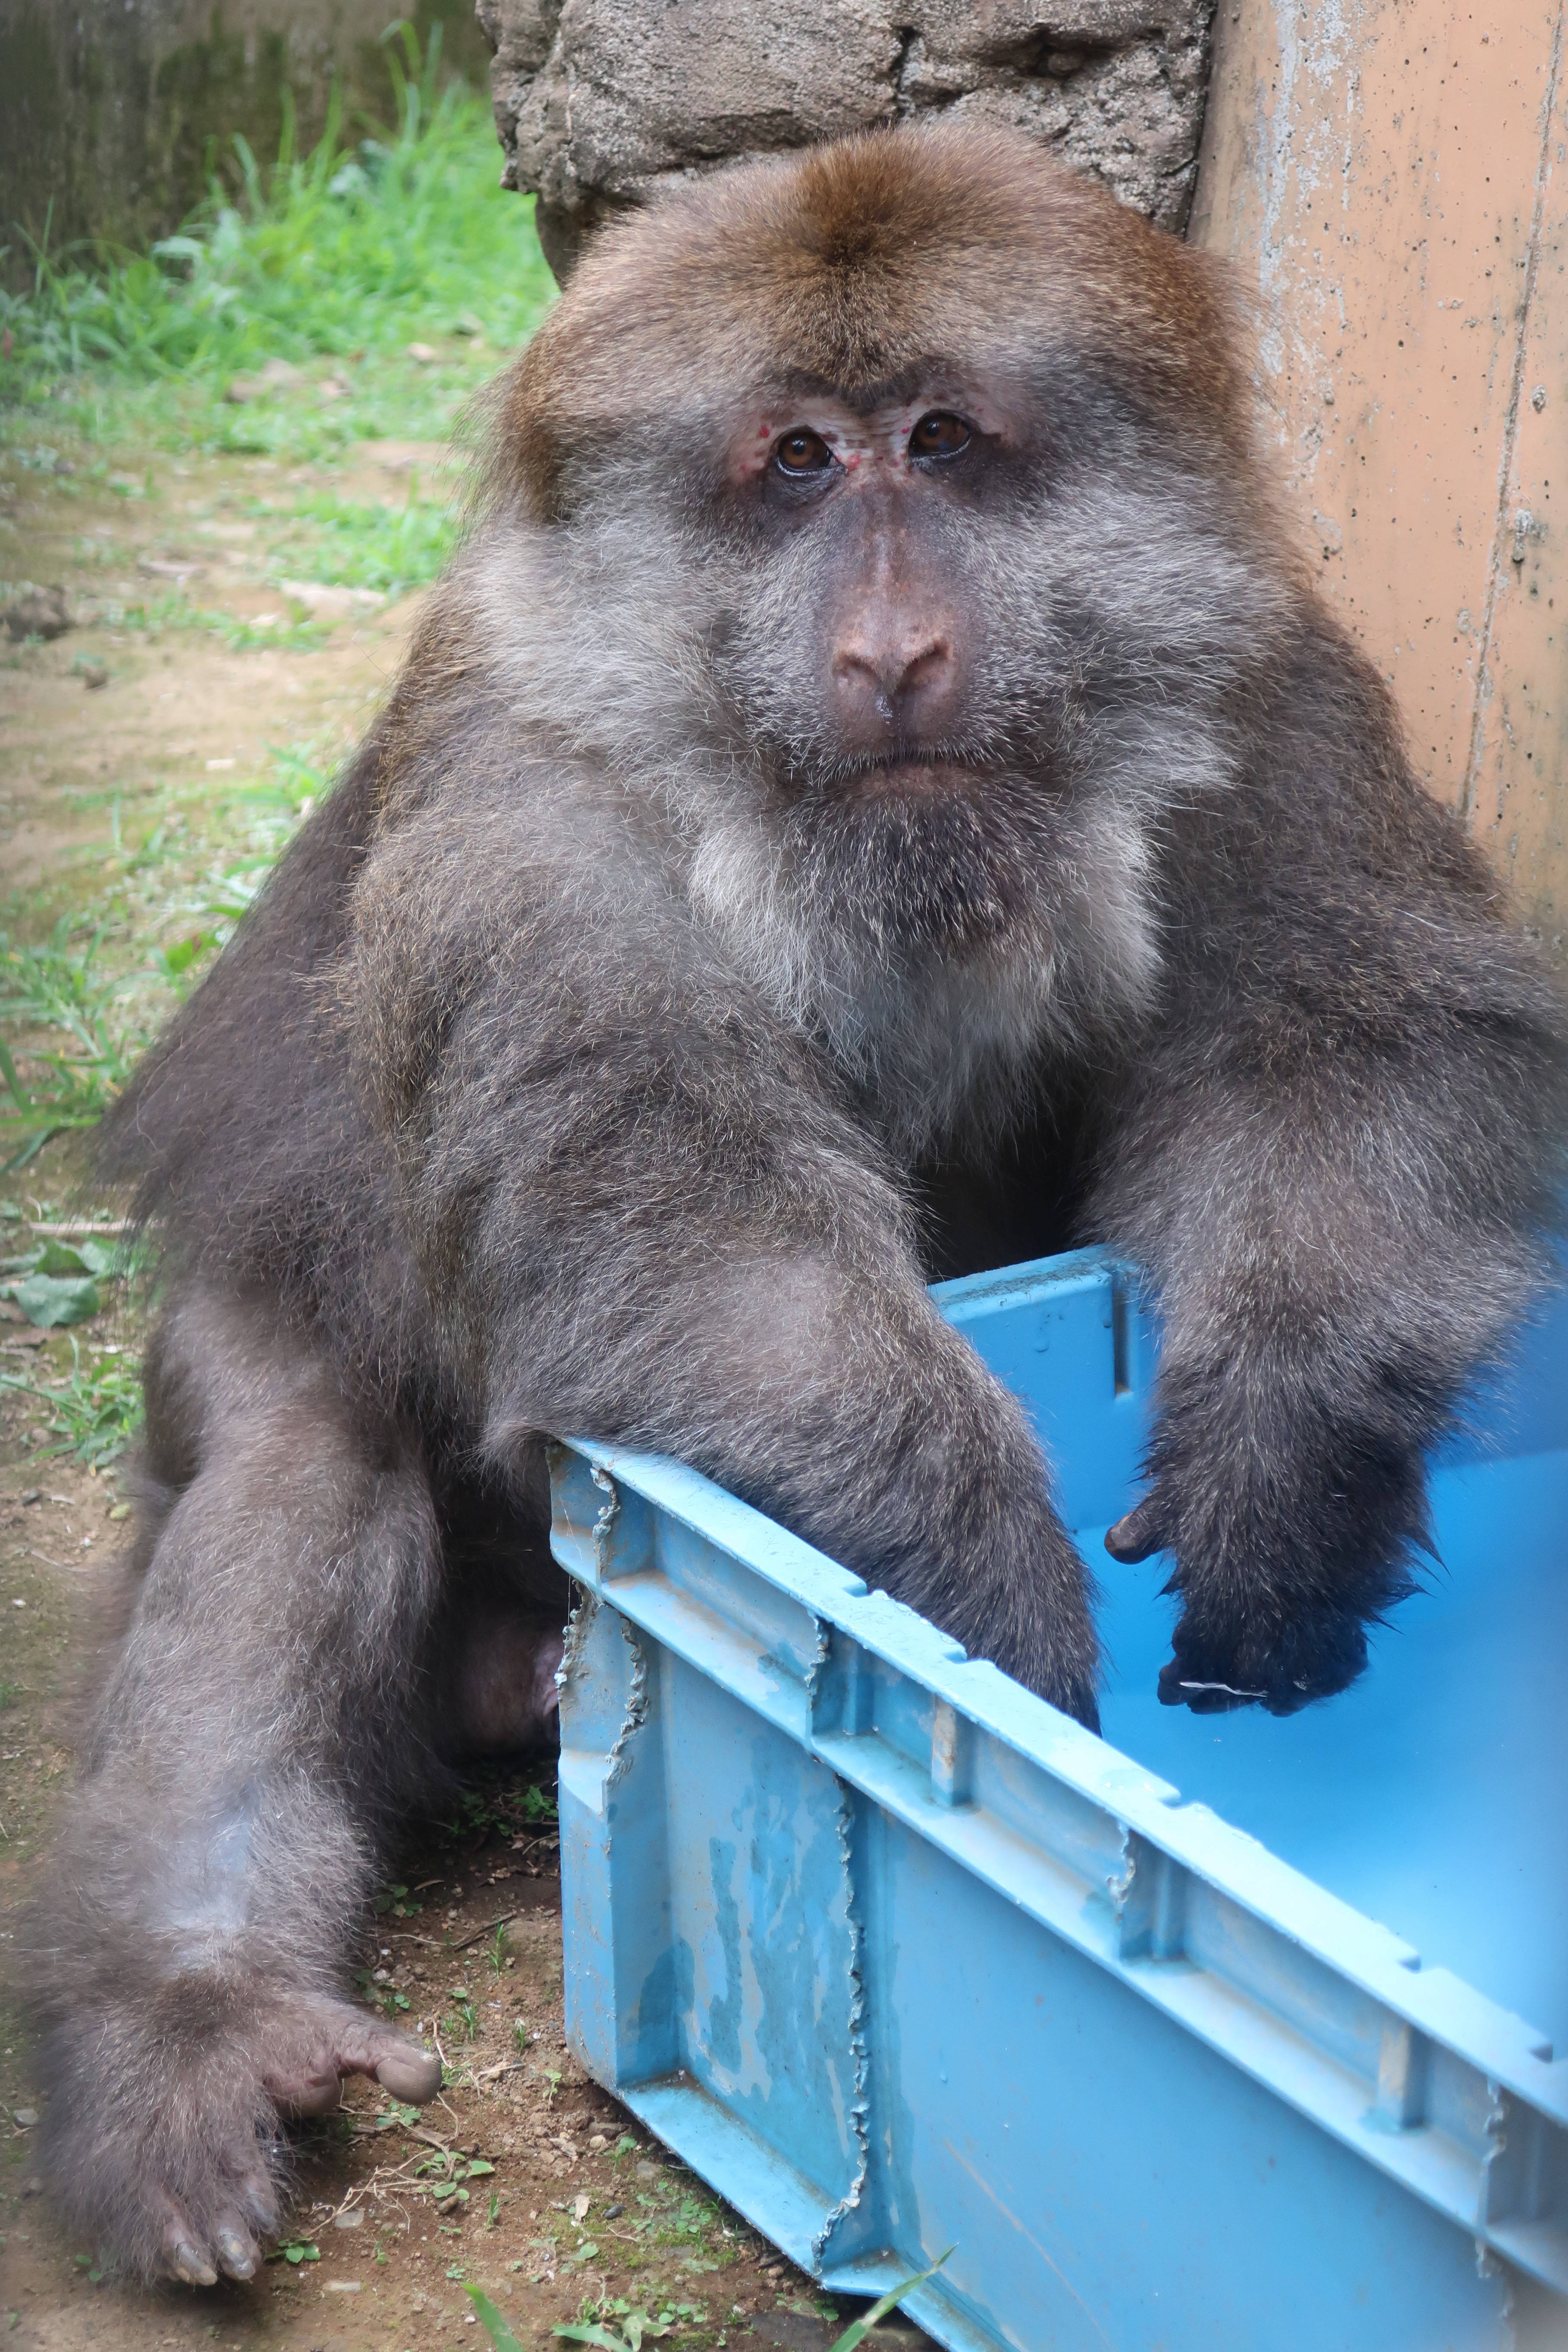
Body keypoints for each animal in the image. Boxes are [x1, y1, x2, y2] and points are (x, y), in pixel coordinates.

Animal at [24, 119, 1568, 2286]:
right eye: (797, 464)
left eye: (941, 438)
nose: (896, 652)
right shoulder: (533, 812)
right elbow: (679, 1201)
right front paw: (987, 1605)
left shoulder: (1264, 685)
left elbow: (1349, 1045)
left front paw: (1279, 1474)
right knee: (297, 1470)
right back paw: (191, 2011)